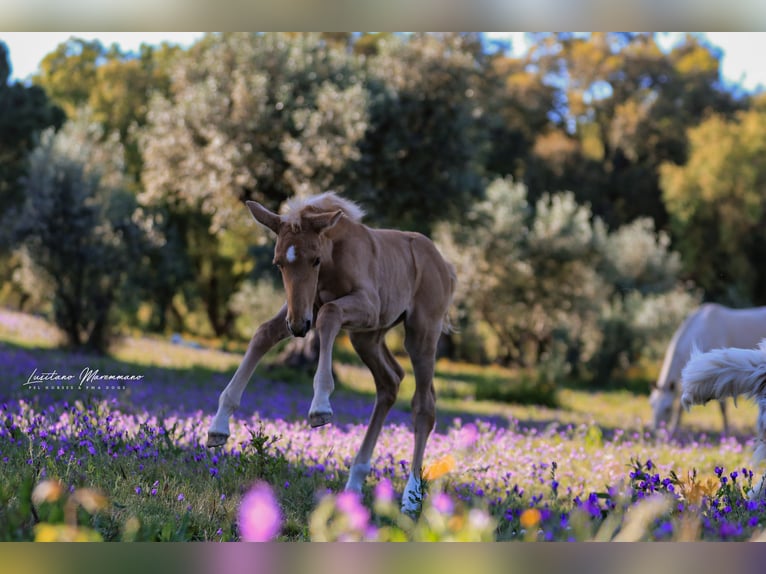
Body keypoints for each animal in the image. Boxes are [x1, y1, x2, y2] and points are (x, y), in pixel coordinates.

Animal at [207, 194, 456, 512]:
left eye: (315, 259)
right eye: (278, 263)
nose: (298, 328)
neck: (334, 258)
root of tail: (443, 264)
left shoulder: (364, 304)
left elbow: (330, 314)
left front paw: (320, 406)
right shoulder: (305, 307)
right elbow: (264, 333)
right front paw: (218, 427)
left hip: (420, 332)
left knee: (424, 405)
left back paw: (411, 497)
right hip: (367, 336)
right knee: (390, 381)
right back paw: (354, 483)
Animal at [652, 306, 766, 436]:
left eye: (668, 408)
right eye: (652, 405)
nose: (656, 431)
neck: (703, 328)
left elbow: (722, 407)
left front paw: (727, 432)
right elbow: (681, 406)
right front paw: (674, 429)